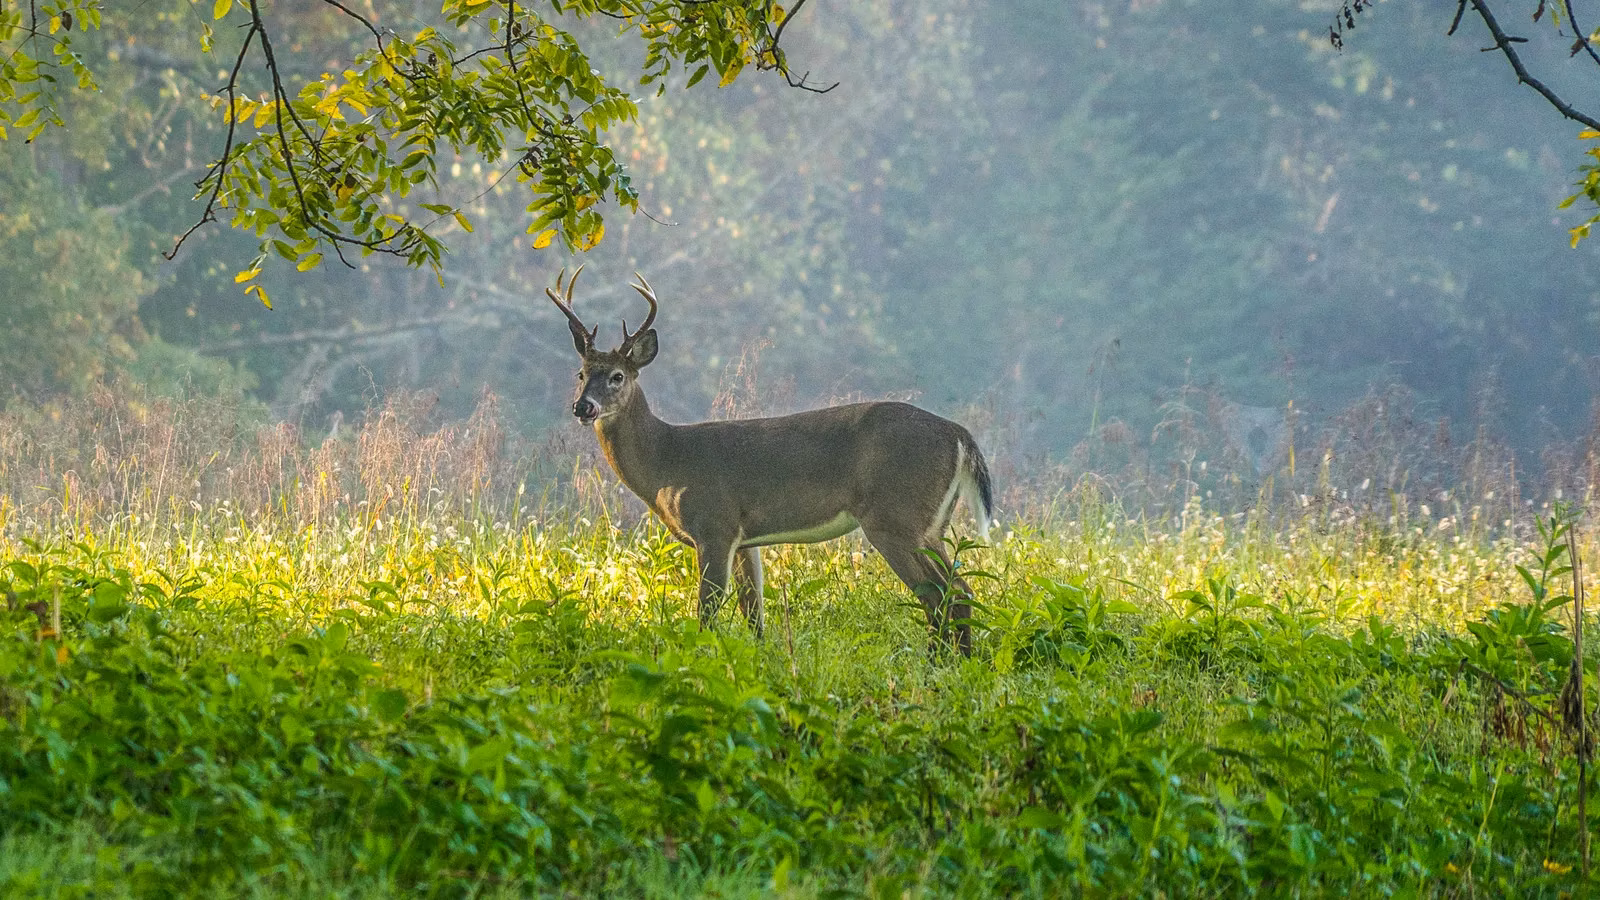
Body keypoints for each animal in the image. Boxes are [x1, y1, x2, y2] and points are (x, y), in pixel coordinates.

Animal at [547, 267, 994, 655]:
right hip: (931, 523)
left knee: (941, 594)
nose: (583, 407)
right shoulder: (747, 539)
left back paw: (939, 665)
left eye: (618, 376)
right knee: (960, 590)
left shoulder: (714, 524)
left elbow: (708, 610)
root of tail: (961, 435)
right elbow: (754, 613)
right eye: (582, 374)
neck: (667, 462)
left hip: (895, 516)